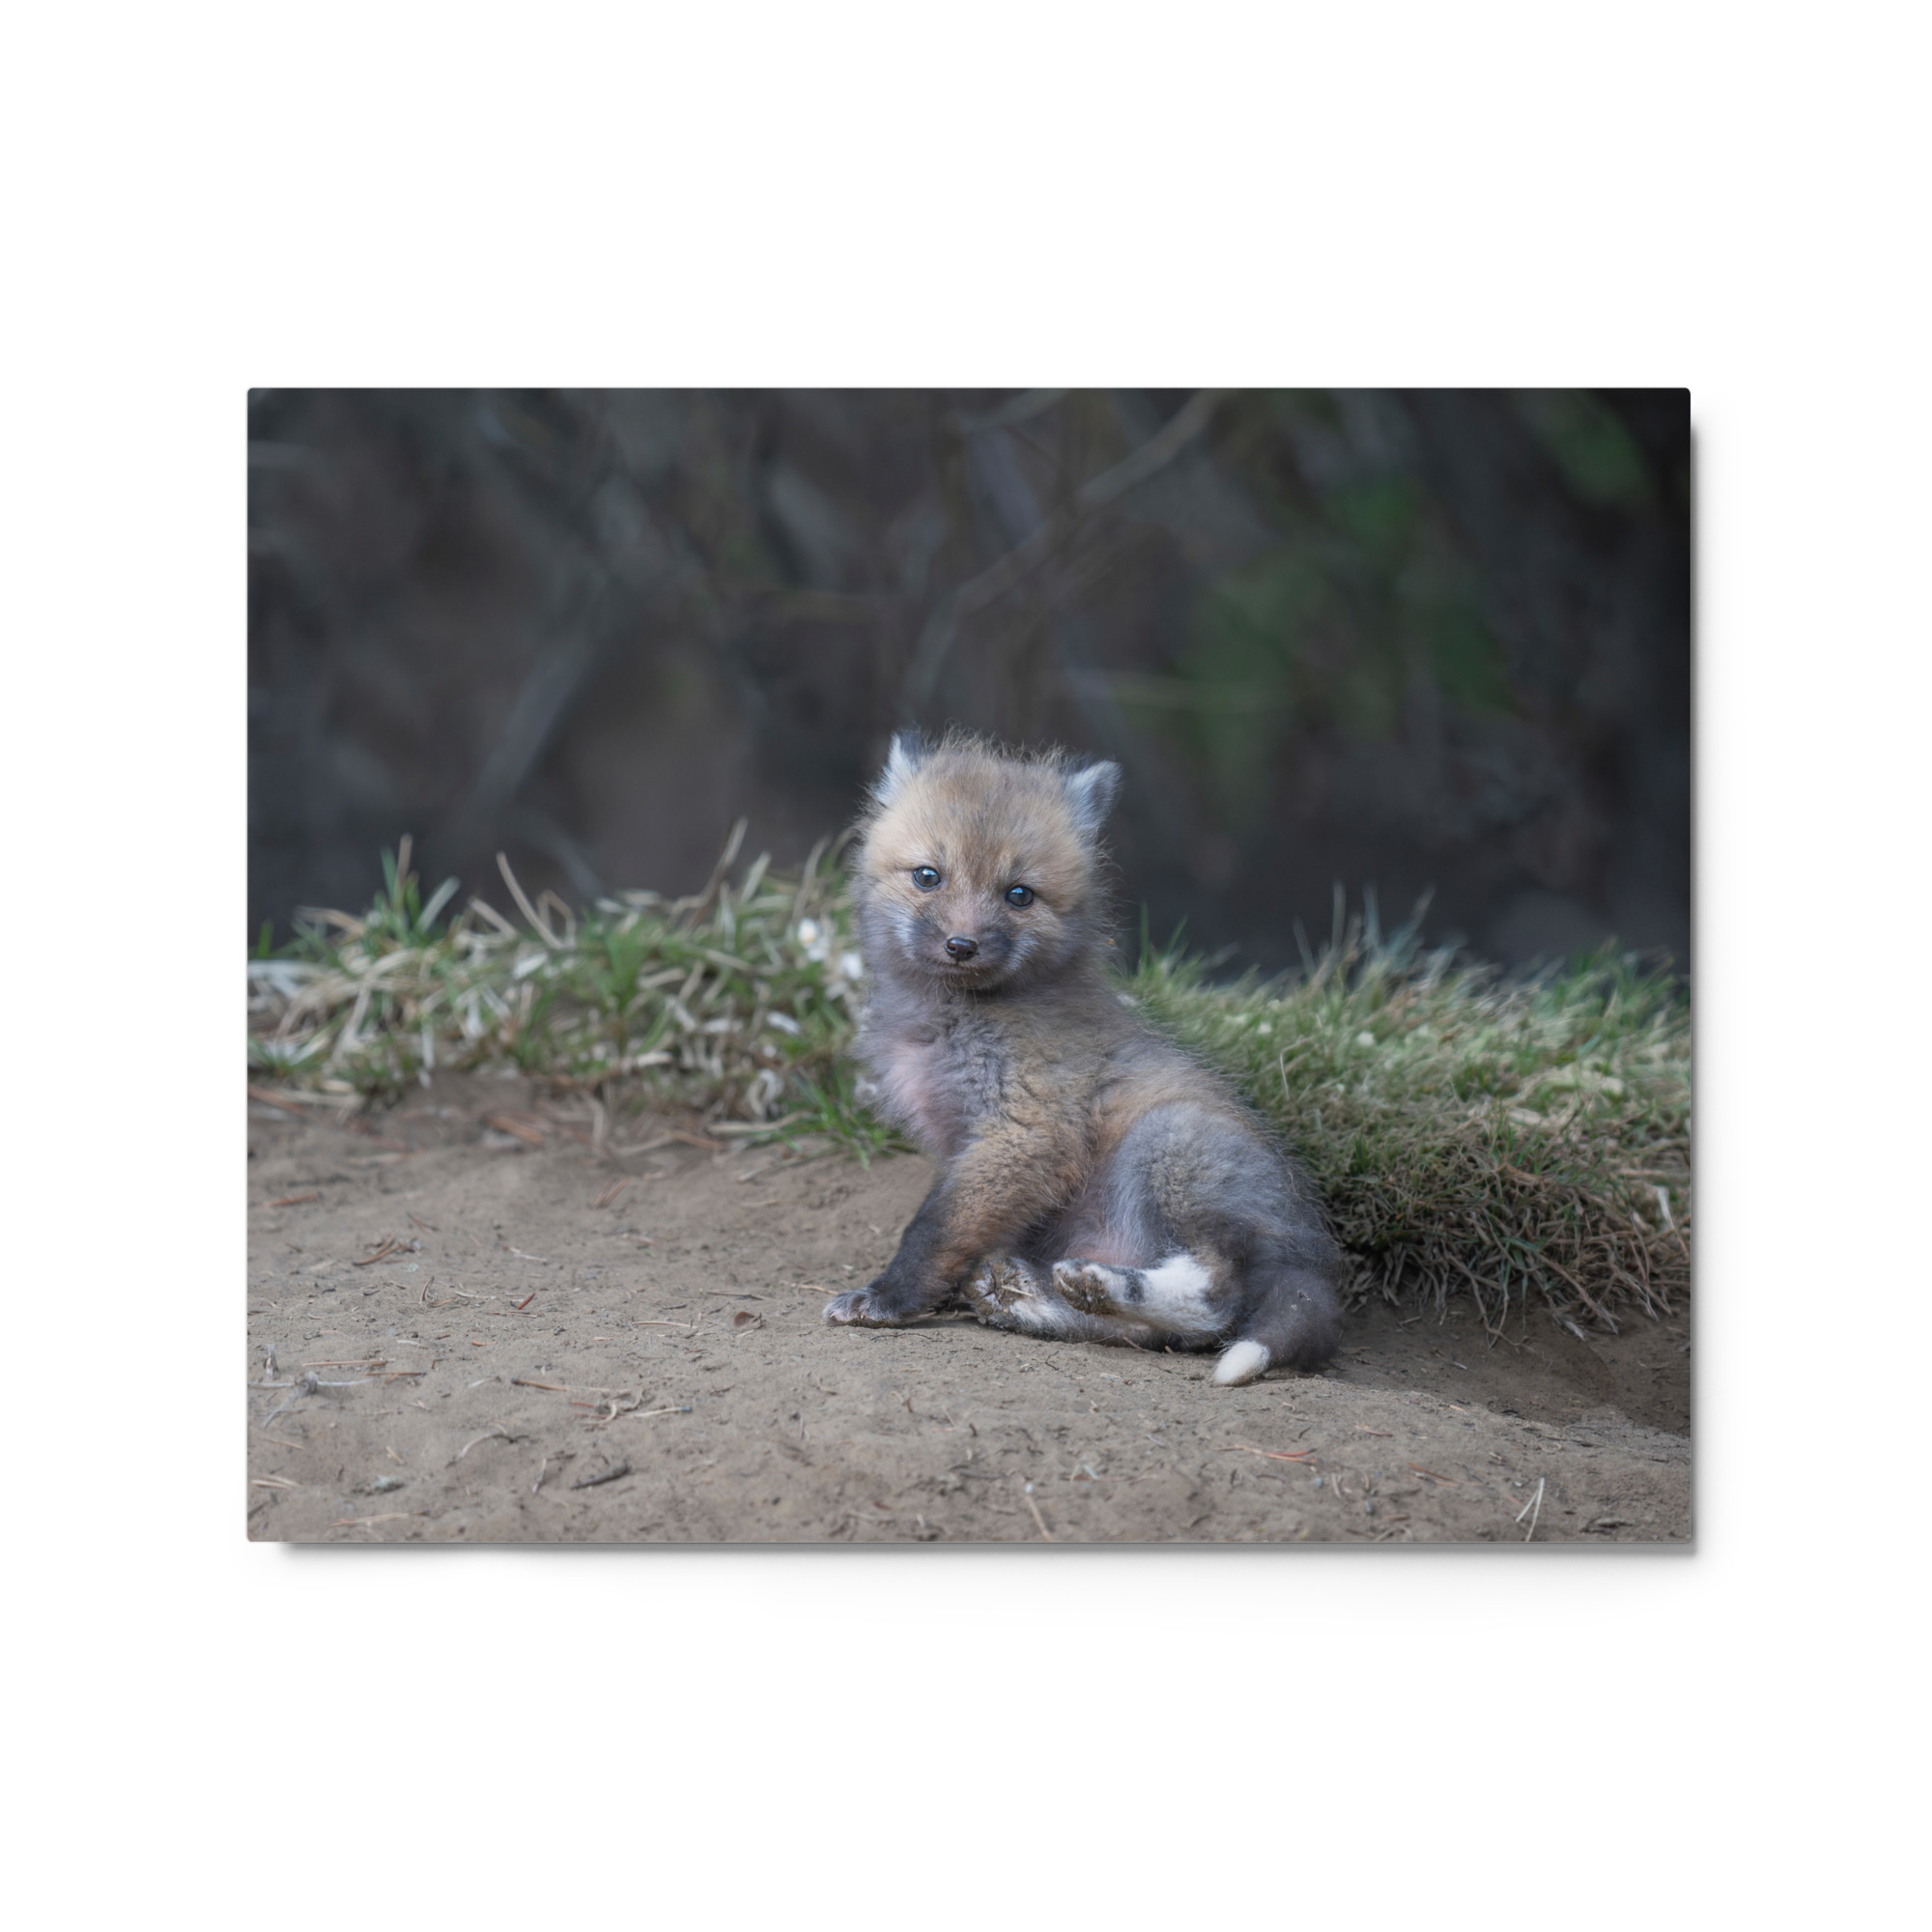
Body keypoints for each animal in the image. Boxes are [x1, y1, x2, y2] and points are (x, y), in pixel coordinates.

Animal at [822, 732, 1344, 1386]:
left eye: (1019, 894)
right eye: (927, 876)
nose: (961, 945)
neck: (953, 1020)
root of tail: (1313, 1257)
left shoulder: (1026, 1131)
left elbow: (933, 1229)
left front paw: (888, 1298)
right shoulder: (970, 1146)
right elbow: (957, 1228)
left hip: (1168, 1143)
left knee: (1216, 1301)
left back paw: (1098, 1285)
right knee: (1157, 1334)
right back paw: (1033, 1298)